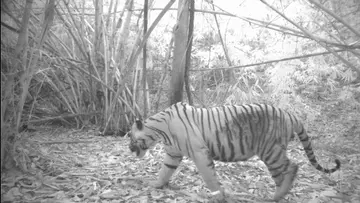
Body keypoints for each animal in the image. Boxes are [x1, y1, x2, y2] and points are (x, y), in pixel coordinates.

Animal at [126, 102, 340, 201]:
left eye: (129, 136)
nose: (128, 148)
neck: (160, 130)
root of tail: (289, 113)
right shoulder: (173, 153)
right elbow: (165, 171)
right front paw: (155, 184)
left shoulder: (199, 152)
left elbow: (209, 176)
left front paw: (218, 196)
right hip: (273, 153)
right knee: (283, 173)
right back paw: (278, 195)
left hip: (271, 151)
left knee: (293, 166)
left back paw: (277, 195)